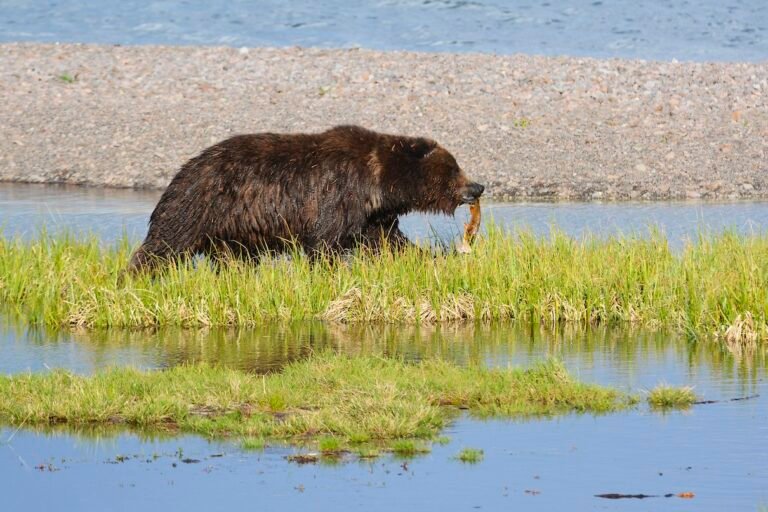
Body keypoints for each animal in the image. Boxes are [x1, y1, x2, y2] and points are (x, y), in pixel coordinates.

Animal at [128, 125, 484, 271]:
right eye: (453, 167)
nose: (478, 187)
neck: (379, 184)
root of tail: (184, 168)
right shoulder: (337, 195)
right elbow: (324, 243)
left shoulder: (371, 216)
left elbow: (387, 241)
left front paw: (431, 257)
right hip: (199, 205)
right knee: (165, 243)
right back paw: (137, 276)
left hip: (230, 230)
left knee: (234, 259)